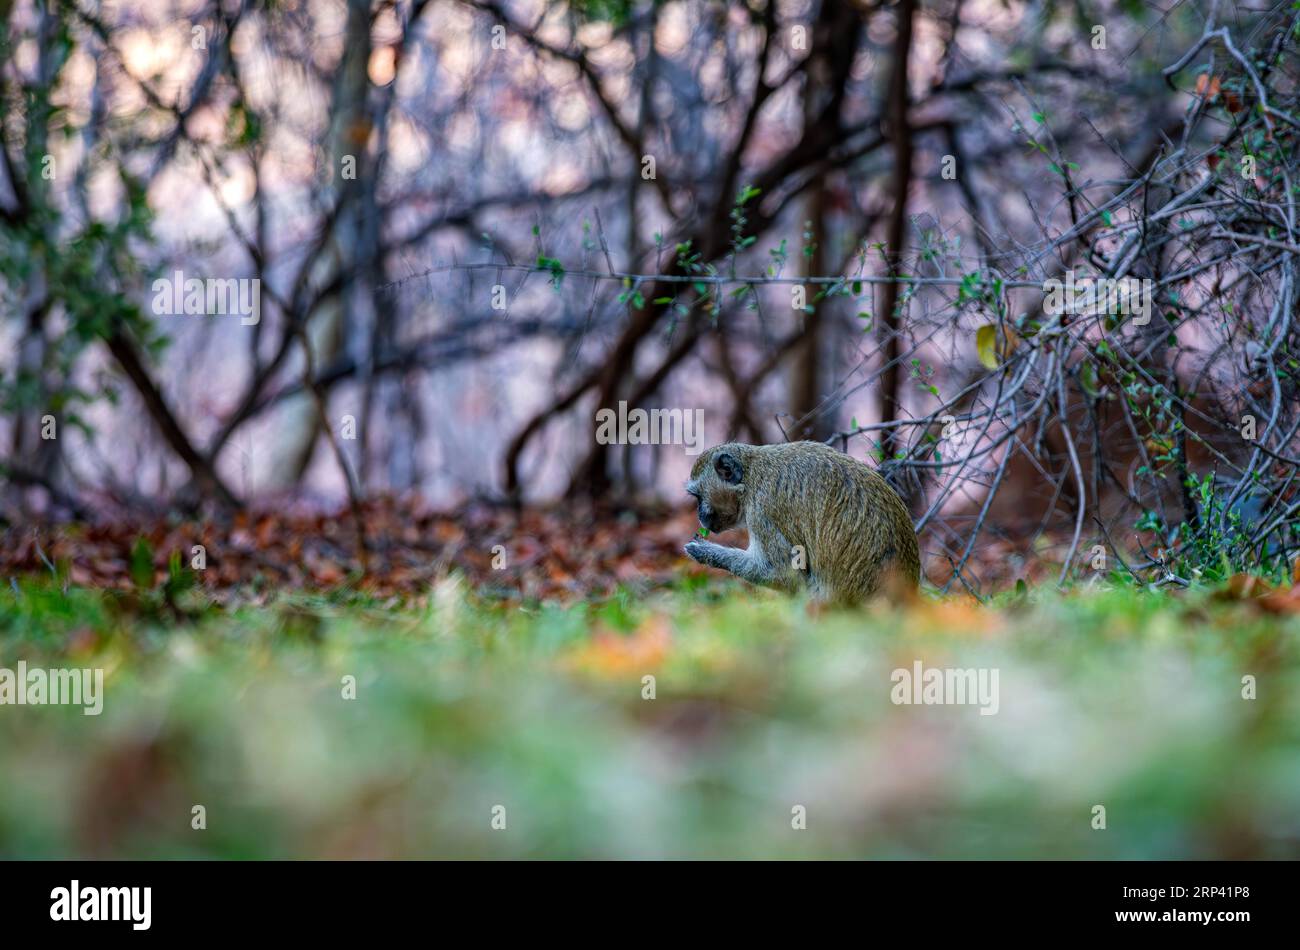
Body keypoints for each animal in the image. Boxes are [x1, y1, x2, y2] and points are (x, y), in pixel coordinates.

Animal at [686, 444, 920, 605]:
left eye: (698, 497)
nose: (699, 515)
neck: (752, 475)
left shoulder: (762, 513)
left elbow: (787, 576)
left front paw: (705, 552)